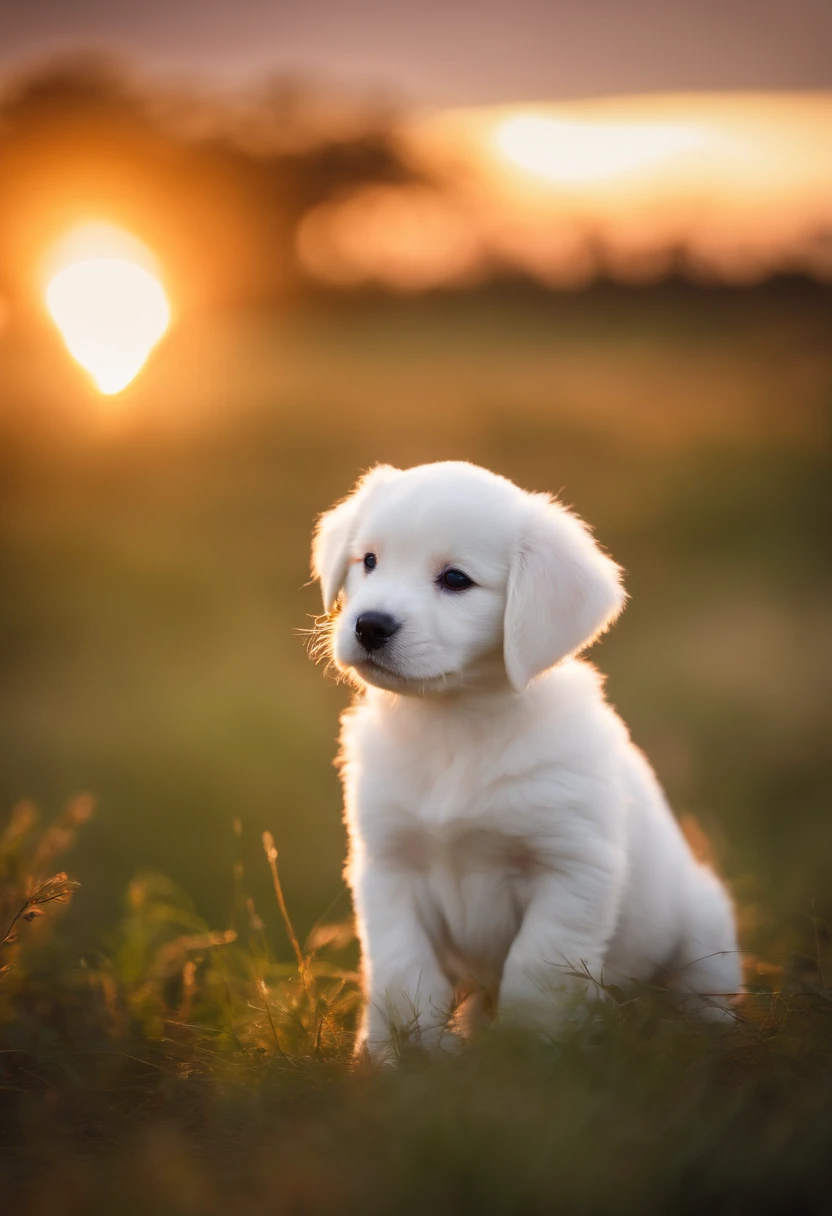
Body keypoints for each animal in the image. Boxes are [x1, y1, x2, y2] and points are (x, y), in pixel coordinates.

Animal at [311, 459, 739, 1060]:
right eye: (369, 561)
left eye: (456, 580)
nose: (369, 625)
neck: (455, 725)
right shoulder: (388, 866)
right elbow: (402, 974)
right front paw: (398, 1059)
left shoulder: (572, 870)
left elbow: (536, 974)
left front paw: (528, 1060)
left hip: (704, 927)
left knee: (701, 999)